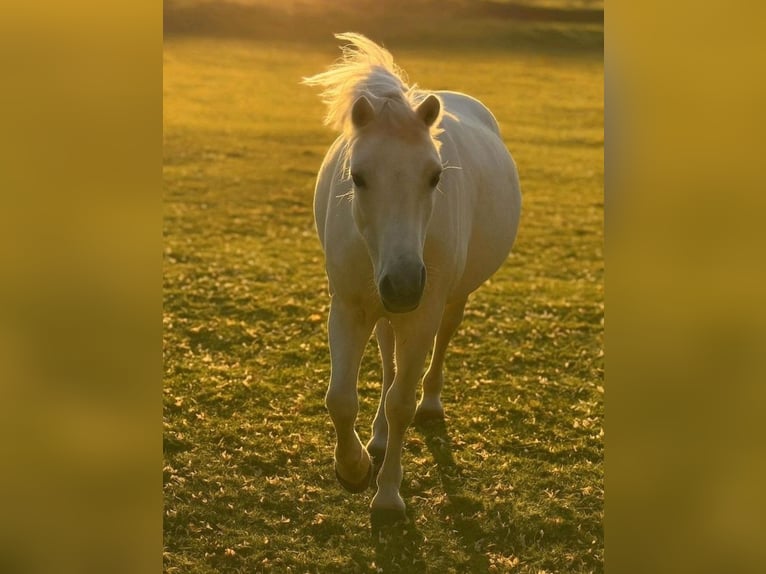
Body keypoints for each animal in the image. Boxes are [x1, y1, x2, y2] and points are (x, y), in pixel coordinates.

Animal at [303, 33, 521, 524]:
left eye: (435, 175)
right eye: (357, 177)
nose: (403, 285)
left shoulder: (422, 313)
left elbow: (401, 402)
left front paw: (387, 497)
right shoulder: (348, 306)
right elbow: (341, 398)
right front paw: (353, 468)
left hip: (450, 299)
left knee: (440, 343)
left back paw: (430, 404)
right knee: (388, 358)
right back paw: (378, 437)